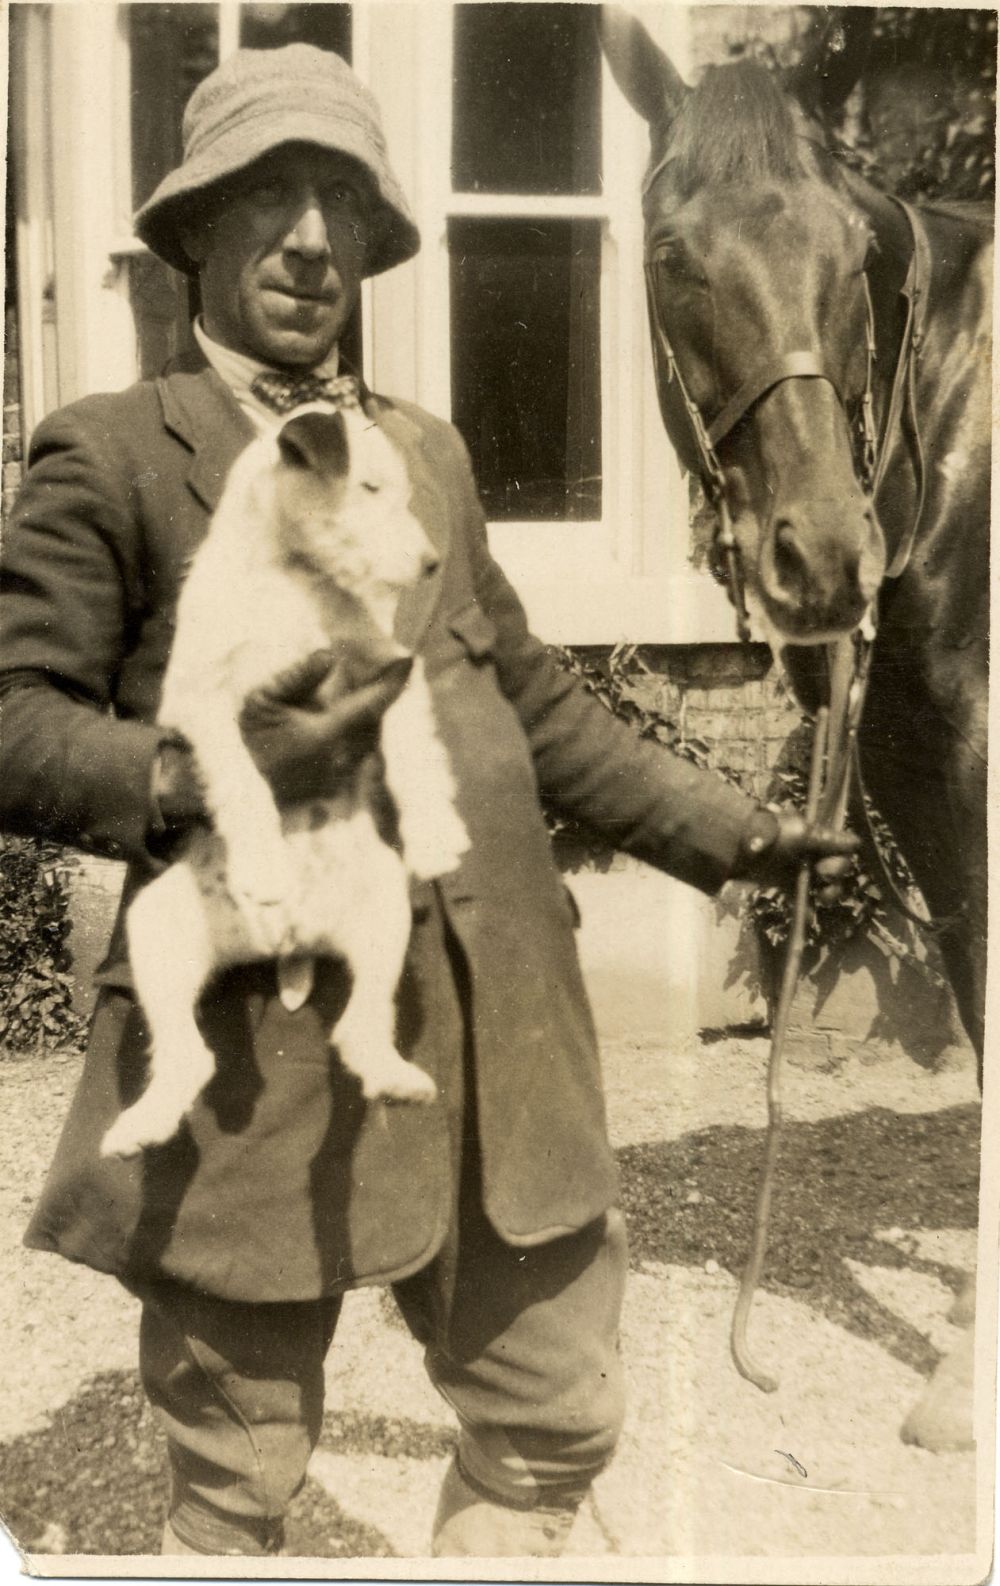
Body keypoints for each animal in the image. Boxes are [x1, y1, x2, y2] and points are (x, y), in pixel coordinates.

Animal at [103, 402, 472, 1160]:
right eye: (368, 488)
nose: (430, 563)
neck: (286, 579)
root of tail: (288, 941)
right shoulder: (205, 702)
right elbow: (243, 779)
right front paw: (265, 863)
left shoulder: (386, 667)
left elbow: (414, 745)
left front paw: (434, 834)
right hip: (157, 926)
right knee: (188, 1057)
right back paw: (141, 1125)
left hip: (383, 907)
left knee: (359, 1027)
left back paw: (394, 1077)